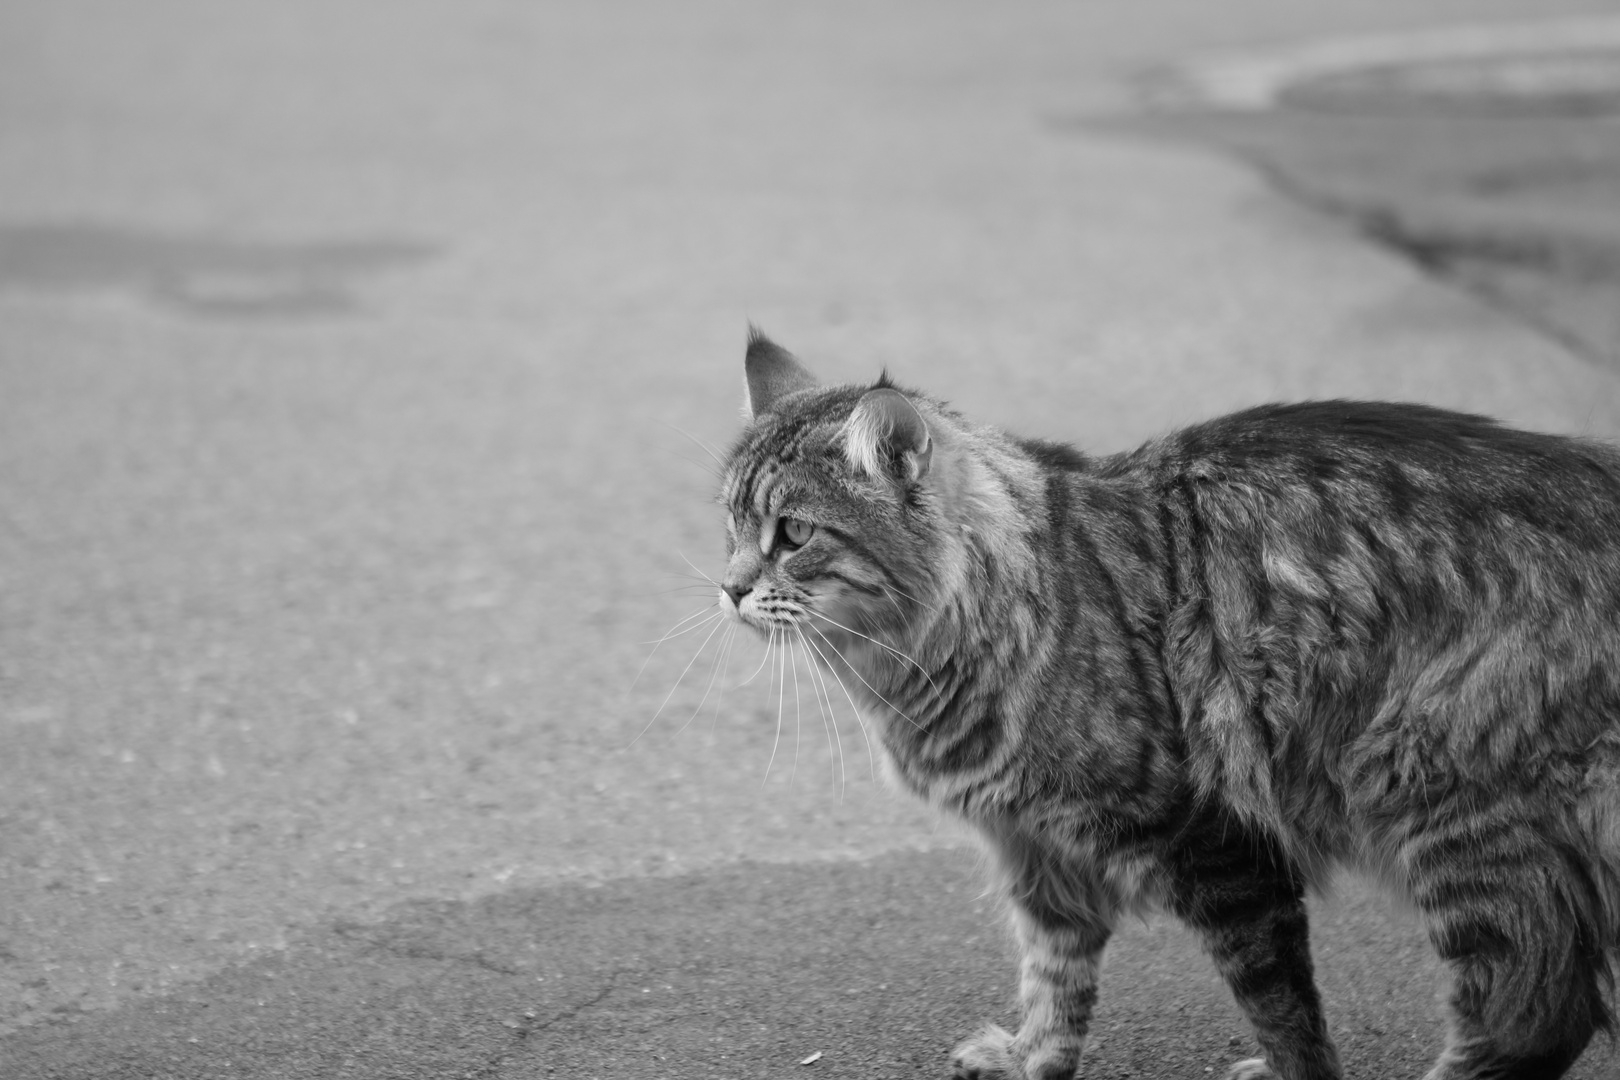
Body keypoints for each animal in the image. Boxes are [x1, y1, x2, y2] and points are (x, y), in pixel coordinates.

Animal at [719, 330, 1620, 1080]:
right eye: (728, 524)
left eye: (792, 533)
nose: (727, 588)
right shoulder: (1040, 853)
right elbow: (1054, 980)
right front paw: (1033, 1059)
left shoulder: (1213, 842)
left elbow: (1283, 1013)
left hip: (1449, 810)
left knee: (1531, 1012)